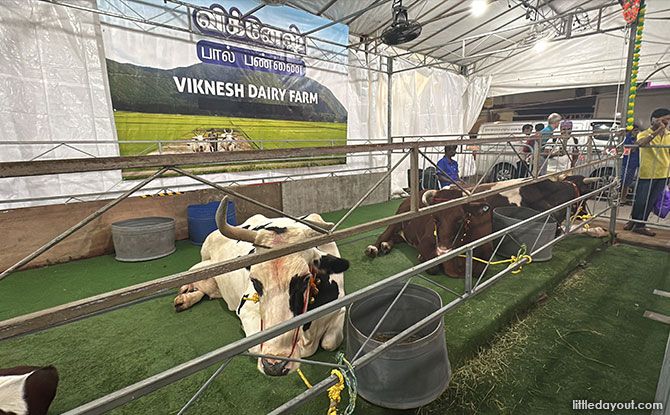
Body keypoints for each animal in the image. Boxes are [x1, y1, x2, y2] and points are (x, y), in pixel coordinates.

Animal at [173, 198, 352, 376]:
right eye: (254, 281)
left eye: (305, 279)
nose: (275, 365)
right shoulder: (246, 310)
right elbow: (254, 347)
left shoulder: (340, 308)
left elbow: (329, 343)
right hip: (205, 261)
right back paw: (185, 293)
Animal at [368, 176, 608, 280]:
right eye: (583, 198)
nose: (587, 210)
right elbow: (575, 226)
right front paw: (597, 230)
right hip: (397, 219)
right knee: (385, 232)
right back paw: (375, 248)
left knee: (396, 237)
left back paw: (387, 246)